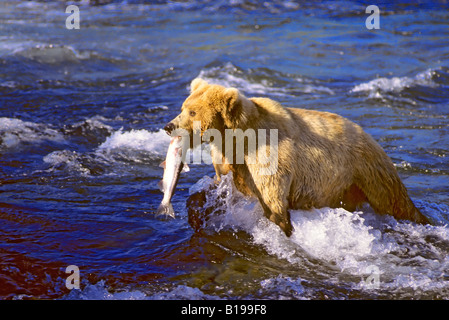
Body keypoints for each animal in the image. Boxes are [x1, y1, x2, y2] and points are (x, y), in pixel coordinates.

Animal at [163, 78, 428, 236]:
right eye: (183, 107)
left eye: (192, 111)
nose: (169, 126)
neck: (235, 136)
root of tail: (370, 136)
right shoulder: (228, 159)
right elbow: (219, 185)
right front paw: (197, 210)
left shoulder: (266, 155)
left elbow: (273, 200)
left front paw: (283, 226)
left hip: (367, 170)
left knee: (395, 202)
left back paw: (420, 218)